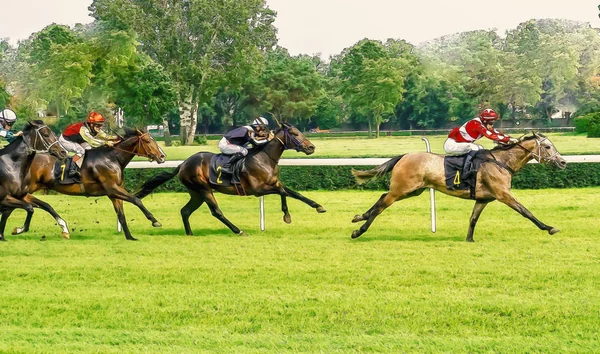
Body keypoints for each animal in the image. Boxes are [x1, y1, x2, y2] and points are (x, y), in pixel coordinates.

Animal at [7, 129, 166, 242]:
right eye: (147, 140)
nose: (162, 156)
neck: (112, 158)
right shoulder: (112, 188)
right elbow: (136, 200)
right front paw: (155, 221)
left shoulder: (113, 193)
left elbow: (121, 214)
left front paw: (130, 237)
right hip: (26, 188)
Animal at [135, 121, 326, 235]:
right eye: (294, 133)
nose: (311, 147)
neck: (264, 158)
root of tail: (183, 164)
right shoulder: (258, 190)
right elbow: (282, 192)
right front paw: (287, 216)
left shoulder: (274, 183)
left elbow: (295, 194)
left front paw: (318, 206)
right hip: (203, 189)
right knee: (216, 211)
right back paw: (238, 230)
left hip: (196, 193)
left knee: (185, 211)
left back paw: (190, 234)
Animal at [350, 131, 564, 242]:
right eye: (547, 147)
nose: (562, 162)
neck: (501, 162)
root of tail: (404, 156)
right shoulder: (503, 194)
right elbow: (526, 212)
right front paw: (549, 227)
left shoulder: (483, 199)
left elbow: (473, 219)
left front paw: (469, 239)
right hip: (402, 189)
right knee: (382, 205)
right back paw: (359, 230)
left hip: (412, 190)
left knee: (382, 197)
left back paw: (360, 216)